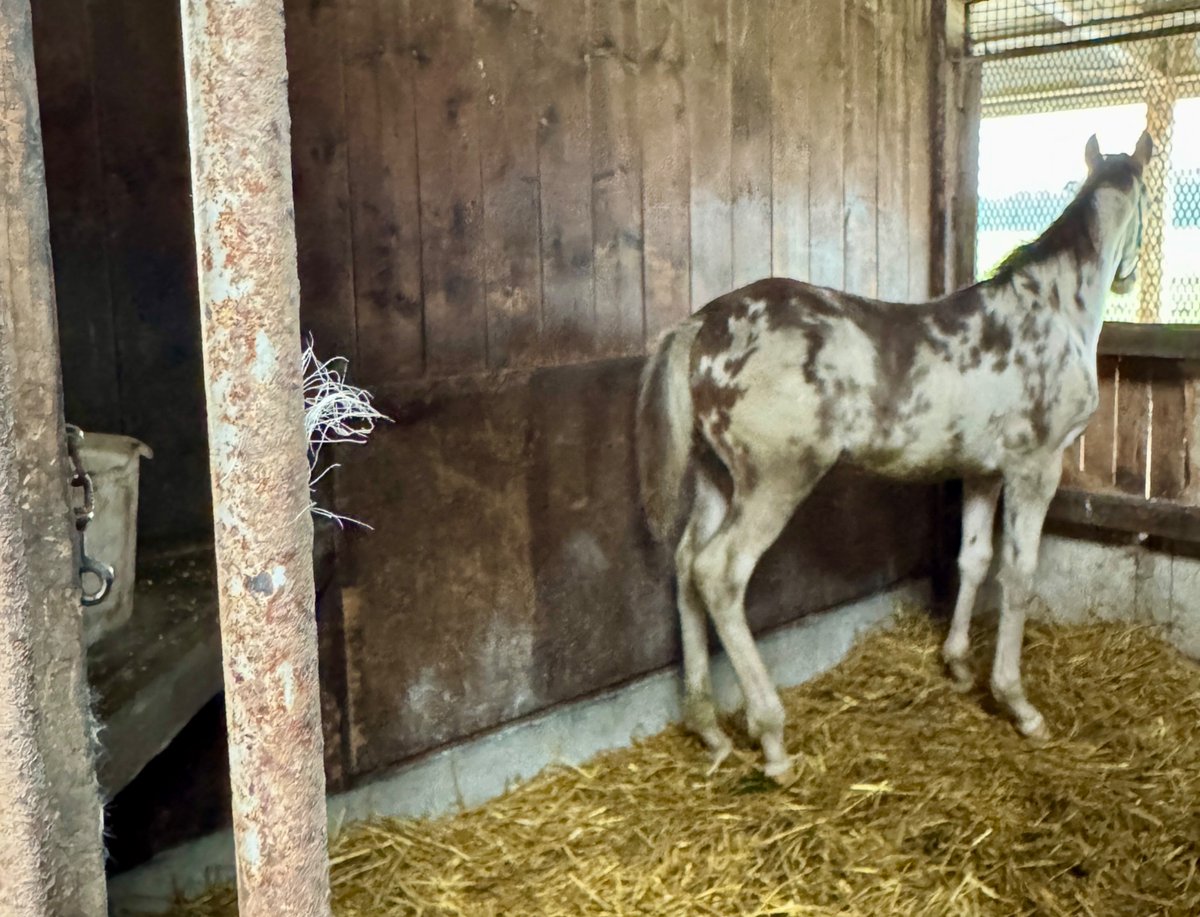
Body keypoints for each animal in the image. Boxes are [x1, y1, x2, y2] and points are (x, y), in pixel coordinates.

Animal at [635, 131, 1153, 781]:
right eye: (1150, 204)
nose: (1130, 279)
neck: (1053, 311)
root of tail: (702, 325)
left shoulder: (984, 472)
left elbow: (974, 559)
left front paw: (958, 666)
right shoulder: (1036, 467)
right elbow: (1017, 573)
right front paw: (1018, 704)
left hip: (715, 478)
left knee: (684, 565)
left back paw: (709, 729)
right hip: (775, 480)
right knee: (719, 573)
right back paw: (772, 739)